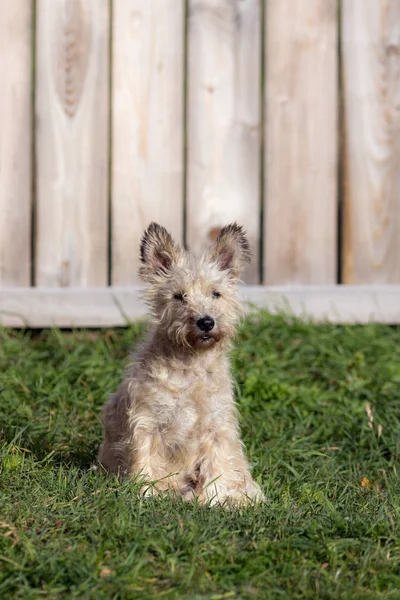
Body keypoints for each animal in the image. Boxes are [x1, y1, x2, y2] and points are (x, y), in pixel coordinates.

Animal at [98, 221, 264, 506]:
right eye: (179, 296)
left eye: (216, 294)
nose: (206, 322)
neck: (191, 364)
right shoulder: (146, 423)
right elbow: (145, 462)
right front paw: (146, 494)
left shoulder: (217, 428)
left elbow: (217, 470)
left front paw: (216, 502)